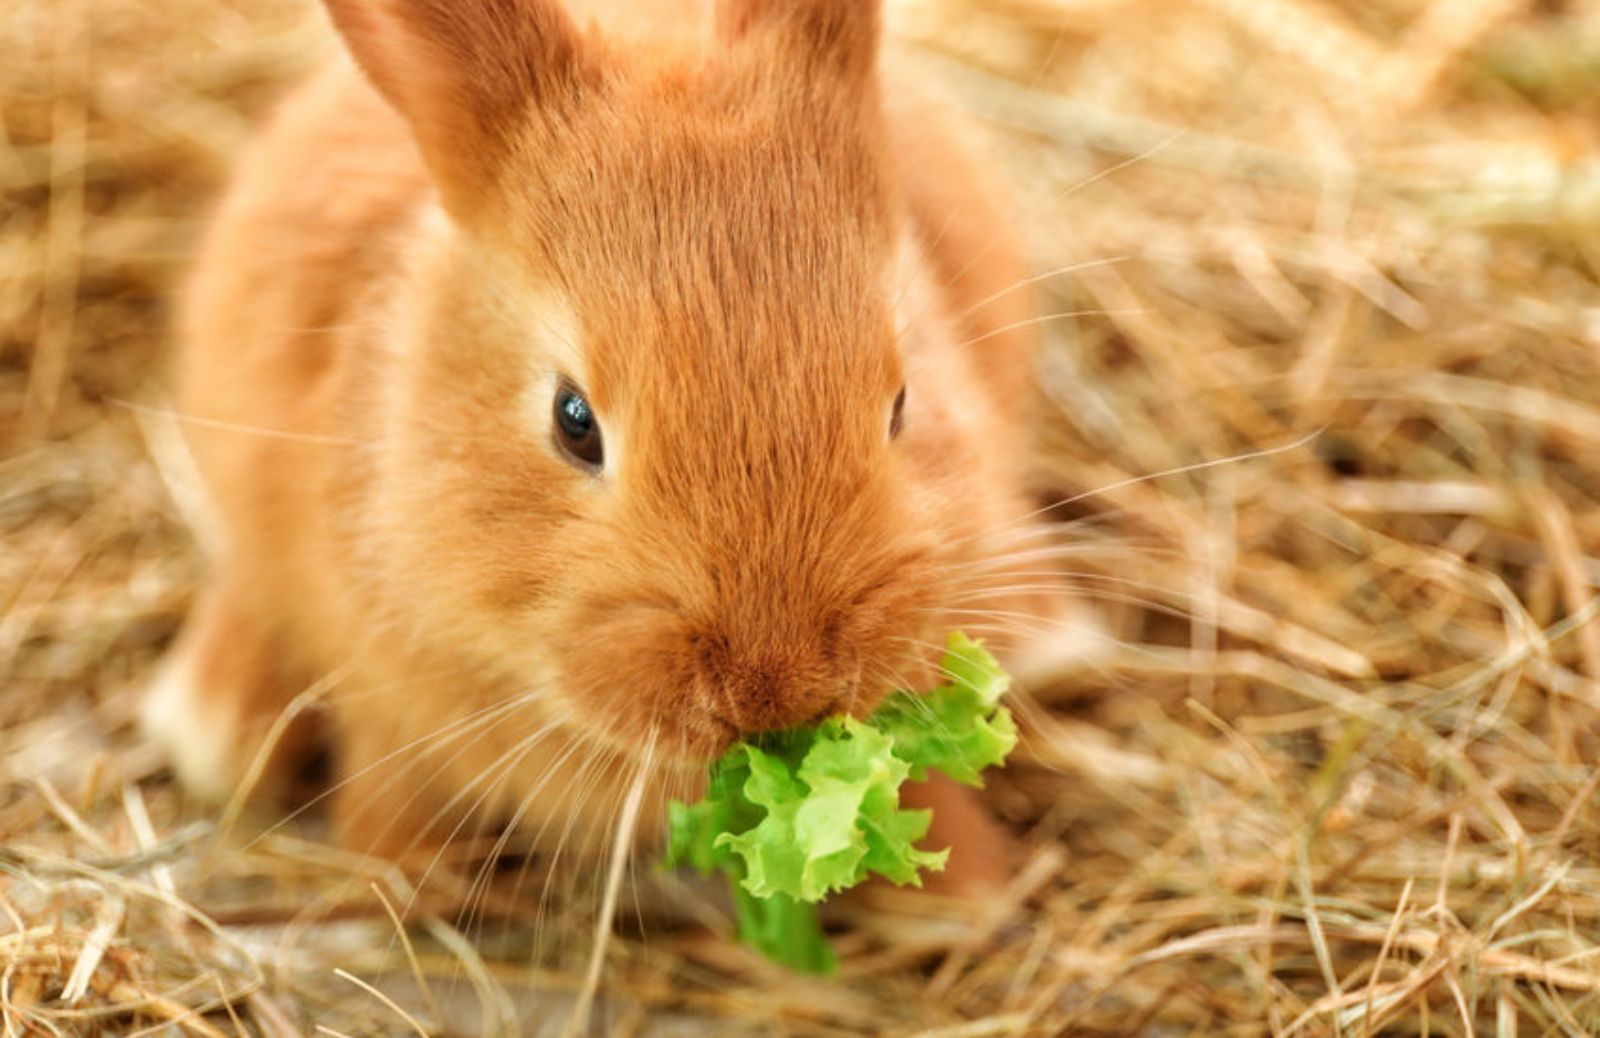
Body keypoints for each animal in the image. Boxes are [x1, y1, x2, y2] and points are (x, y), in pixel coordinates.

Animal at [147, 0, 1075, 889]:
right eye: (573, 419)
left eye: (902, 401)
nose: (775, 690)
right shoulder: (384, 695)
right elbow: (387, 796)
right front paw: (410, 873)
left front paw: (966, 890)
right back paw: (214, 725)